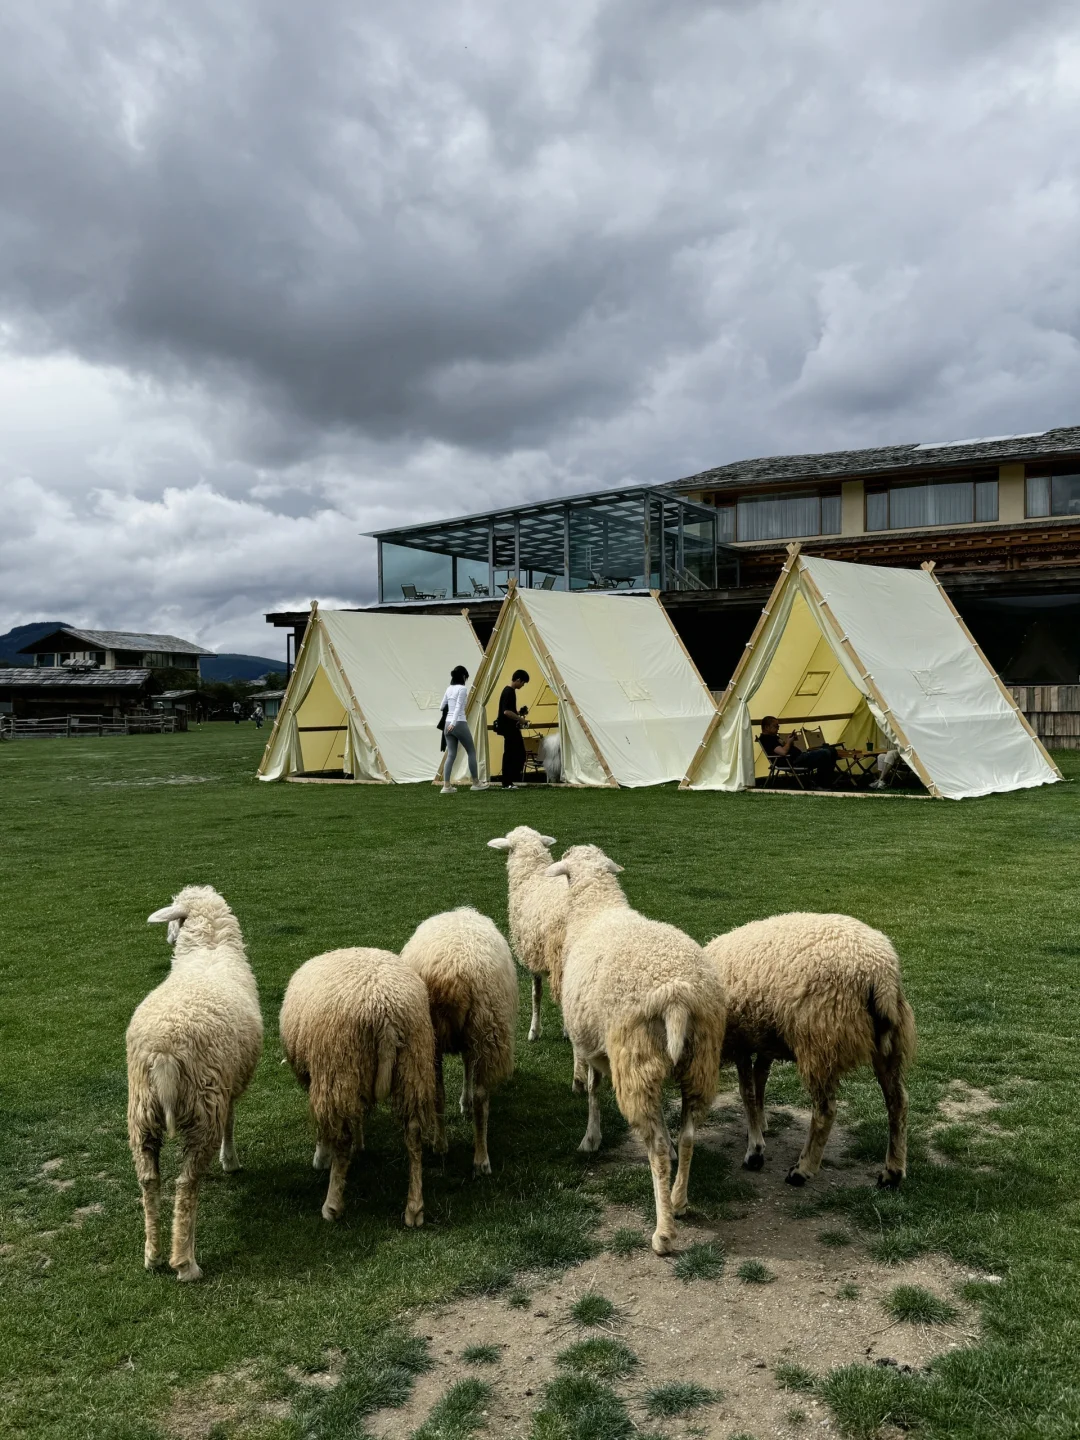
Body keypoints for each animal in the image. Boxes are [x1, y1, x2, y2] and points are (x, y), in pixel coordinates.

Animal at [126, 885, 263, 1282]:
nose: (169, 937)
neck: (209, 947)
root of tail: (164, 1052)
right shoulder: (228, 1088)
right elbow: (232, 1122)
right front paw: (230, 1162)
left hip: (141, 1113)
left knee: (149, 1180)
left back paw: (153, 1254)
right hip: (204, 1106)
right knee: (185, 1186)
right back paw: (185, 1263)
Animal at [279, 947, 436, 1226]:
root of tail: (385, 1013)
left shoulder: (321, 1080)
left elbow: (326, 1129)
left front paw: (322, 1157)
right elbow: (359, 1113)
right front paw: (360, 1145)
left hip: (339, 1067)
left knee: (342, 1138)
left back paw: (332, 1205)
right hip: (412, 1066)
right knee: (414, 1134)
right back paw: (415, 1208)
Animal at [400, 907, 518, 1175]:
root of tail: (455, 976)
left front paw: (464, 1102)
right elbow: (467, 1066)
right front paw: (465, 1101)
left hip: (452, 1035)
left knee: (443, 1093)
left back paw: (445, 1146)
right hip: (485, 1028)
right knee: (481, 1097)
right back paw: (480, 1158)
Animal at [548, 845, 726, 1255]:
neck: (597, 908)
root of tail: (677, 995)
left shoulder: (593, 1046)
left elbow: (593, 1091)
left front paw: (590, 1139)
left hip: (634, 1058)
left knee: (656, 1147)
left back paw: (663, 1232)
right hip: (699, 1061)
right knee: (689, 1134)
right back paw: (679, 1199)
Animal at [704, 912, 916, 1189]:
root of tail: (880, 975)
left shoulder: (740, 1039)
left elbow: (747, 1092)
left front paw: (755, 1151)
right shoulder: (764, 1040)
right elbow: (760, 1081)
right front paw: (760, 1125)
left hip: (819, 1039)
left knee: (826, 1110)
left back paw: (802, 1170)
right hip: (889, 1044)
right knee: (897, 1102)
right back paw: (893, 1171)